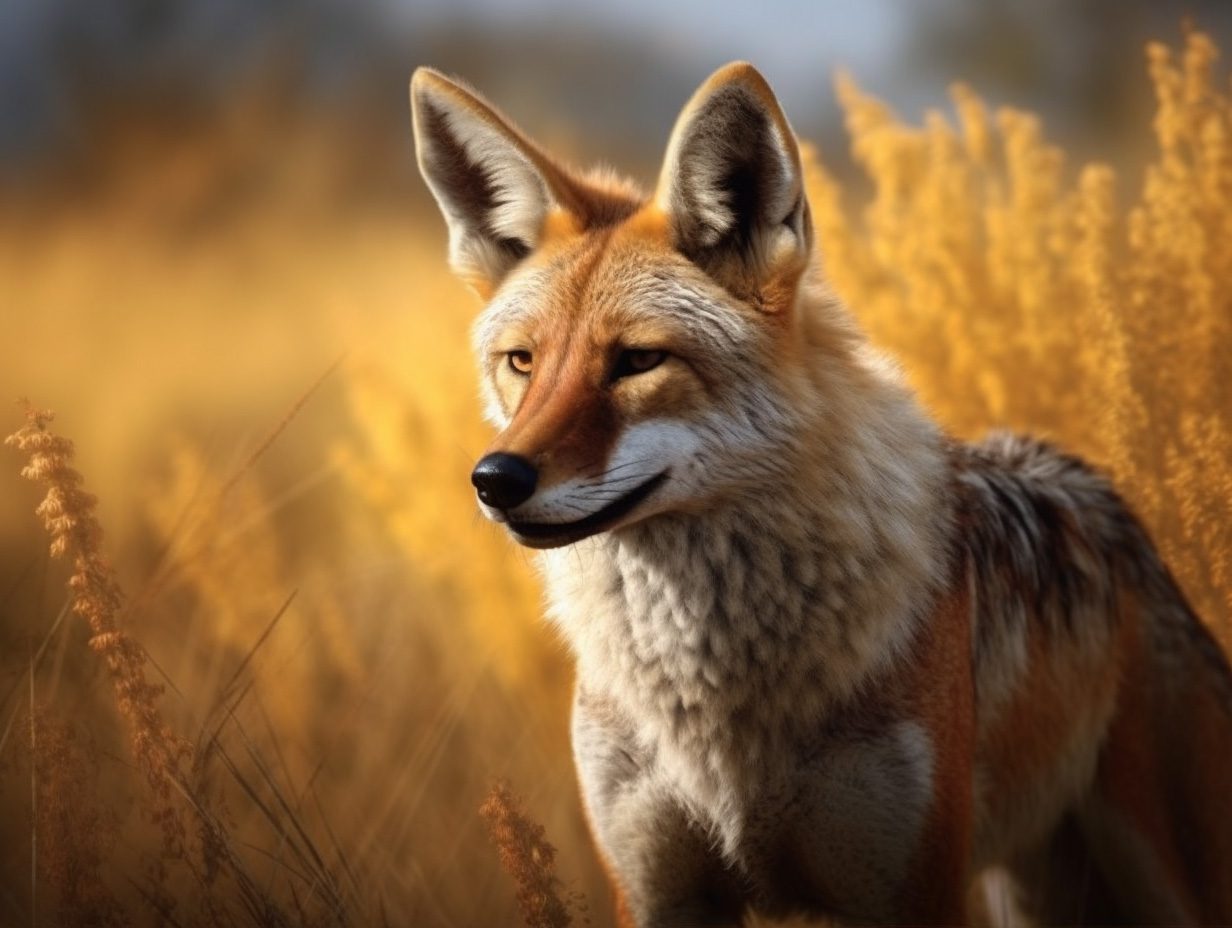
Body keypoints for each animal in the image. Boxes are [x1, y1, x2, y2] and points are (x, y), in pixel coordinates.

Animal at [410, 62, 1232, 926]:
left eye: (638, 361)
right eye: (523, 362)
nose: (495, 480)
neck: (713, 703)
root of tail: (1090, 483)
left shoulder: (912, 890)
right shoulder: (654, 891)